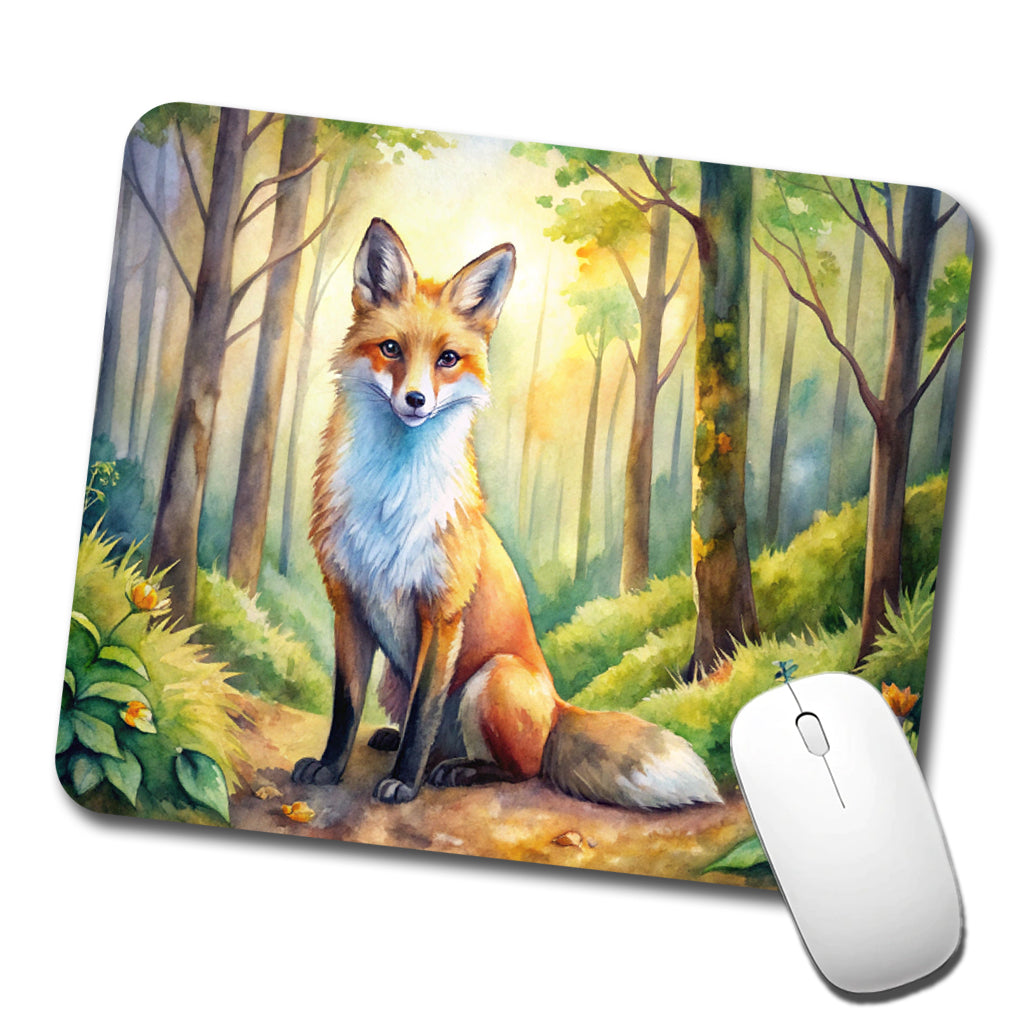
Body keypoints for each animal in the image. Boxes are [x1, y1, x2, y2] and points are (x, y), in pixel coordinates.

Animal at [293, 217, 722, 809]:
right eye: (390, 349)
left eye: (448, 359)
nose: (416, 401)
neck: (390, 498)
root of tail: (559, 704)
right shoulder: (349, 605)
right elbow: (345, 707)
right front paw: (331, 768)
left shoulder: (443, 612)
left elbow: (425, 714)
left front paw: (405, 783)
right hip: (396, 680)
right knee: (437, 736)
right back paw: (399, 742)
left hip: (492, 680)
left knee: (521, 767)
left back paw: (456, 771)